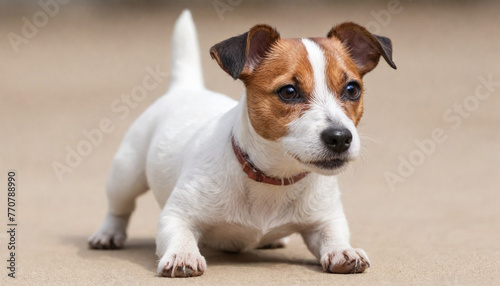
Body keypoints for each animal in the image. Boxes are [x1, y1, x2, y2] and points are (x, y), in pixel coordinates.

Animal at [88, 9, 396, 278]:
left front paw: (343, 251)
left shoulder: (326, 219)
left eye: (352, 89)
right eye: (289, 92)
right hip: (126, 173)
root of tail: (186, 88)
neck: (272, 178)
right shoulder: (176, 215)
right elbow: (179, 232)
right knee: (119, 206)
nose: (340, 138)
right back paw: (108, 234)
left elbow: (334, 234)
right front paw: (182, 254)